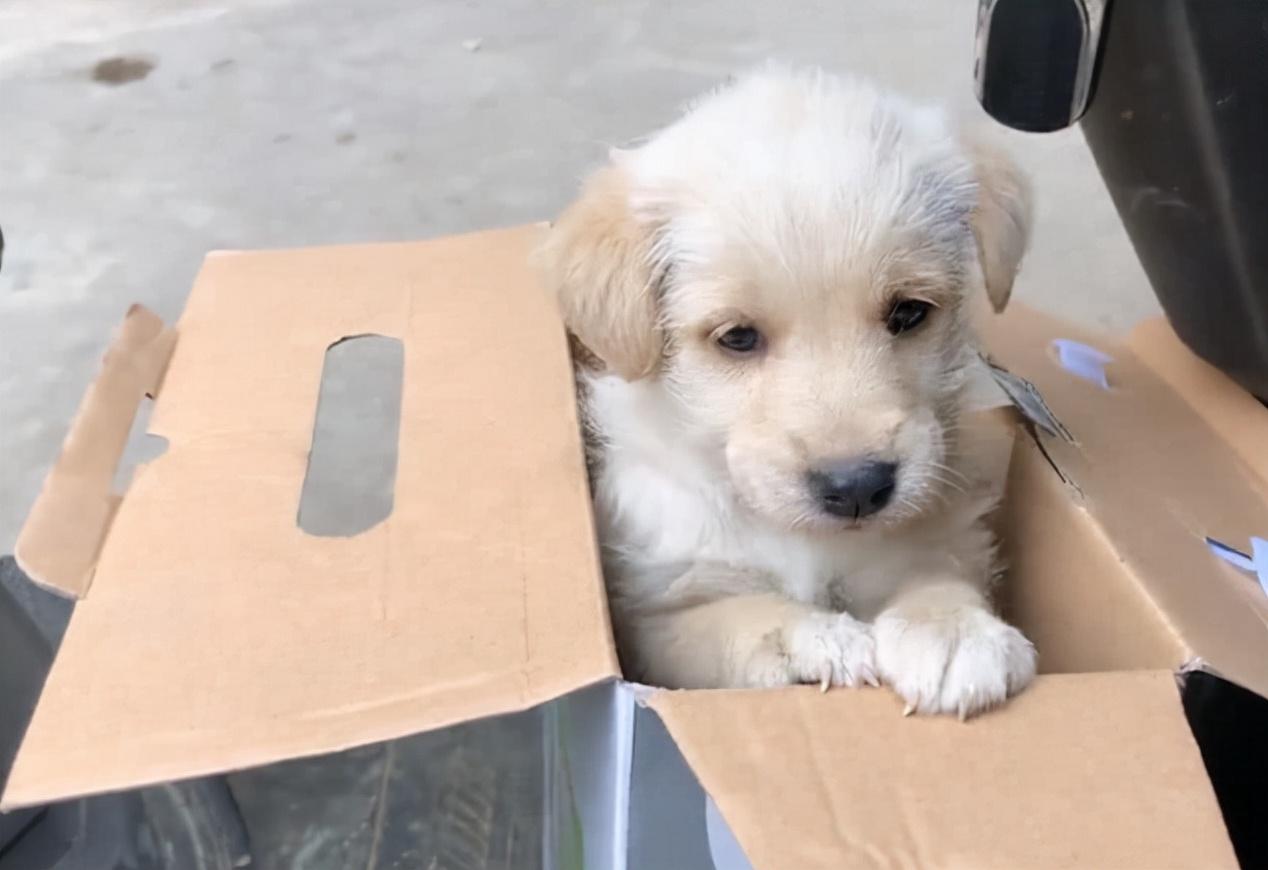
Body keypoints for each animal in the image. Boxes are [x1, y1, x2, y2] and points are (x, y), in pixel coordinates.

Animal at [540, 66, 1034, 720]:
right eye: (738, 337)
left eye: (908, 312)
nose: (857, 488)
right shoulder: (652, 619)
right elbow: (733, 619)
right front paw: (817, 637)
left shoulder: (938, 533)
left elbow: (937, 570)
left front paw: (953, 629)